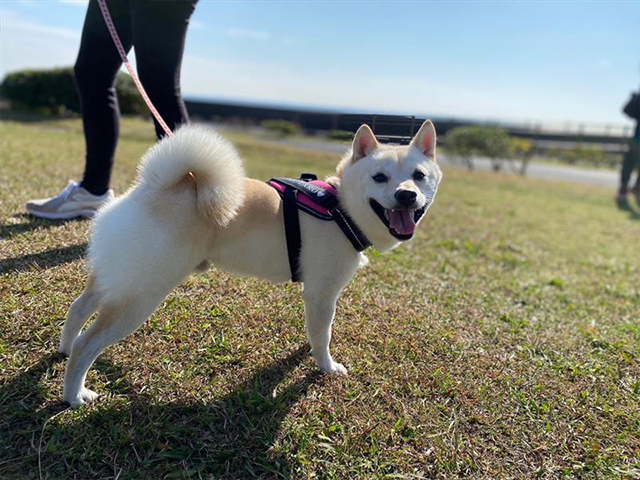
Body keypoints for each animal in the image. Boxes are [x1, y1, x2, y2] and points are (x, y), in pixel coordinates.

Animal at [58, 120, 440, 404]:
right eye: (379, 177)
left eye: (419, 176)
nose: (407, 195)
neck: (339, 208)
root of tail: (151, 189)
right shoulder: (322, 293)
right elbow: (323, 335)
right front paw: (326, 366)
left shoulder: (317, 298)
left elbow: (316, 329)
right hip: (141, 296)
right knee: (88, 343)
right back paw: (75, 394)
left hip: (117, 279)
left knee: (78, 309)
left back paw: (62, 350)